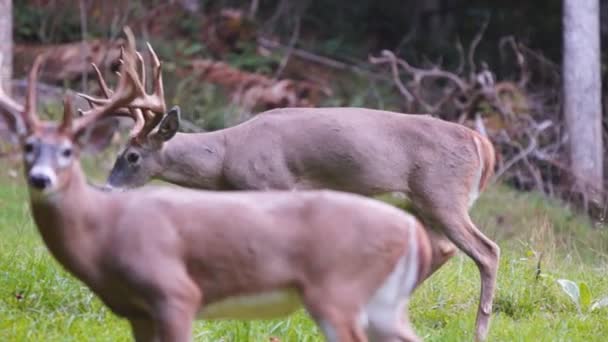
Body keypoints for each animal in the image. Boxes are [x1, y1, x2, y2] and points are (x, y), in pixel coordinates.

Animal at [90, 30, 498, 340]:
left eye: (132, 156)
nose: (106, 190)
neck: (227, 156)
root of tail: (483, 145)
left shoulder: (273, 184)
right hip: (423, 202)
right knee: (443, 248)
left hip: (443, 195)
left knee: (487, 250)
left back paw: (478, 331)